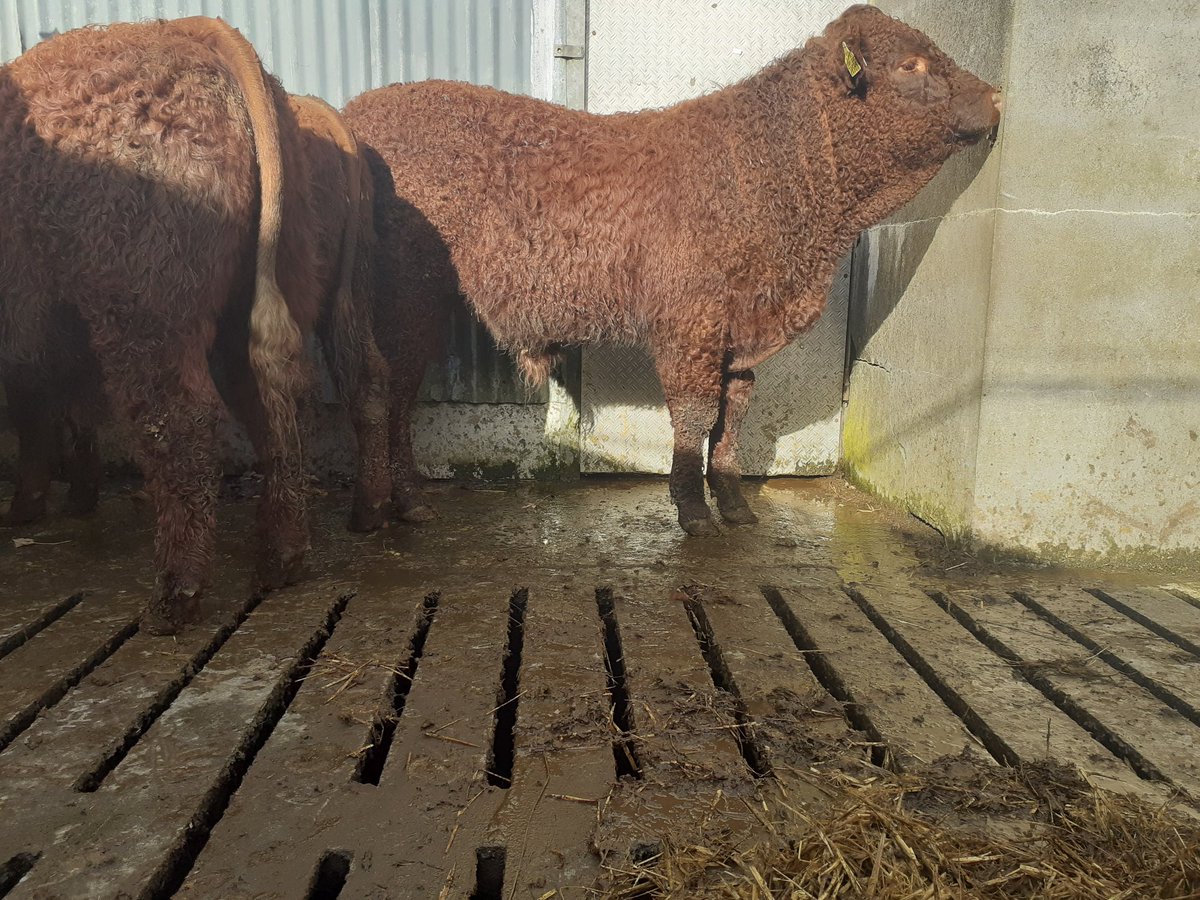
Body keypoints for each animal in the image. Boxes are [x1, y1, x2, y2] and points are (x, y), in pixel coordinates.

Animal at [0, 18, 388, 633]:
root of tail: (196, 33)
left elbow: (41, 417)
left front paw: (29, 508)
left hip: (142, 306)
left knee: (182, 422)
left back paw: (173, 599)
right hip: (279, 299)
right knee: (309, 389)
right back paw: (296, 550)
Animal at [343, 5, 1002, 535]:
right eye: (910, 64)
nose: (997, 95)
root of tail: (358, 111)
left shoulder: (740, 333)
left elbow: (733, 415)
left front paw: (734, 505)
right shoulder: (690, 324)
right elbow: (693, 415)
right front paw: (692, 511)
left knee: (397, 391)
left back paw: (405, 503)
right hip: (405, 296)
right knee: (385, 389)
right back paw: (381, 508)